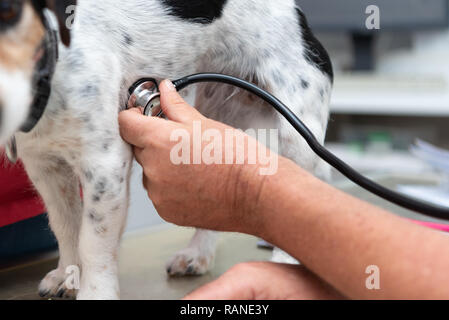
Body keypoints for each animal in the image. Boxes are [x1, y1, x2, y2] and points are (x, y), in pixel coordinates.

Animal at [0, 0, 328, 300]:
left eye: (10, 12)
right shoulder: (45, 167)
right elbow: (66, 225)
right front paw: (69, 274)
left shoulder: (105, 165)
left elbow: (93, 240)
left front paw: (95, 292)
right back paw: (197, 253)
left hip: (297, 130)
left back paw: (284, 266)